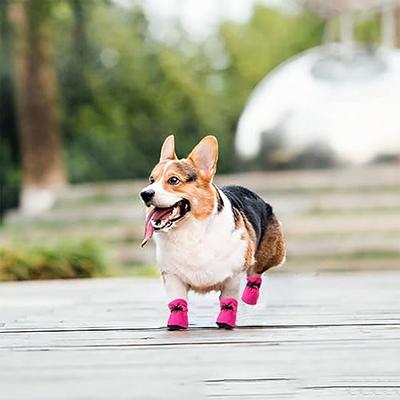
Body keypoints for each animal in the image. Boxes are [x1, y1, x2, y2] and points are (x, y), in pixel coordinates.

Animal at [139, 136, 286, 330]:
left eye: (173, 180)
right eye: (151, 180)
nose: (145, 194)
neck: (190, 232)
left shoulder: (233, 275)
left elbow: (228, 301)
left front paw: (226, 321)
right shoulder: (172, 276)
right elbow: (177, 302)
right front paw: (176, 323)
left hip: (270, 254)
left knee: (256, 271)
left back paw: (250, 297)